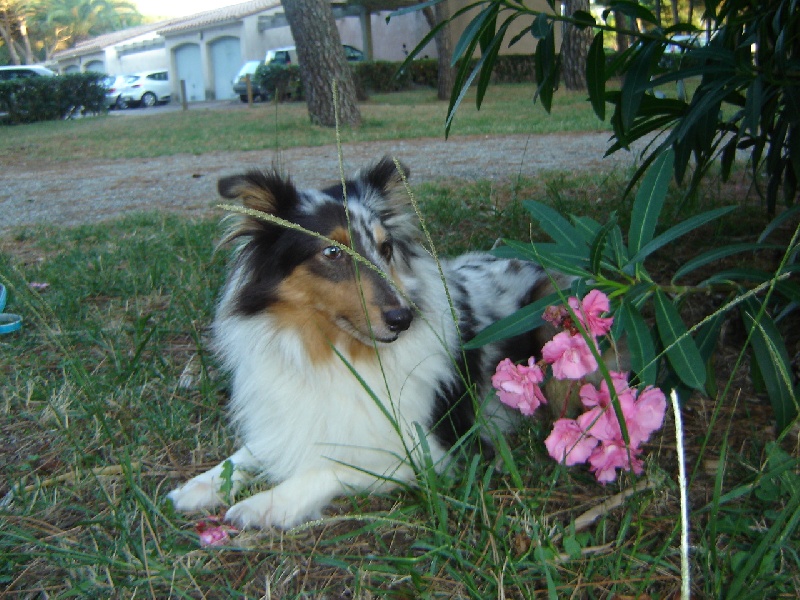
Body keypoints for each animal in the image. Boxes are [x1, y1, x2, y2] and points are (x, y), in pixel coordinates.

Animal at [166, 157, 560, 528]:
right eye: (332, 252)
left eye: (386, 248)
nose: (404, 318)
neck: (336, 353)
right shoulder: (290, 418)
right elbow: (250, 452)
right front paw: (200, 485)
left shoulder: (427, 451)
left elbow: (333, 466)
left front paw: (265, 504)